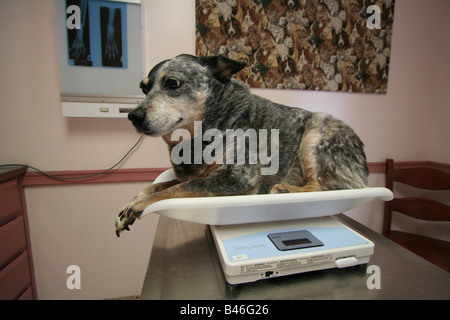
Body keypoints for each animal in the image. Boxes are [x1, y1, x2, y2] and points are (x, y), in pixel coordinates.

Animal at [113, 54, 370, 238]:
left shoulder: (237, 177)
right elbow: (159, 186)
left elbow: (173, 190)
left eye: (172, 83)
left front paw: (139, 204)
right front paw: (132, 202)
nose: (133, 116)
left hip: (315, 134)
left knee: (321, 187)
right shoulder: (196, 175)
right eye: (144, 89)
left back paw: (287, 190)